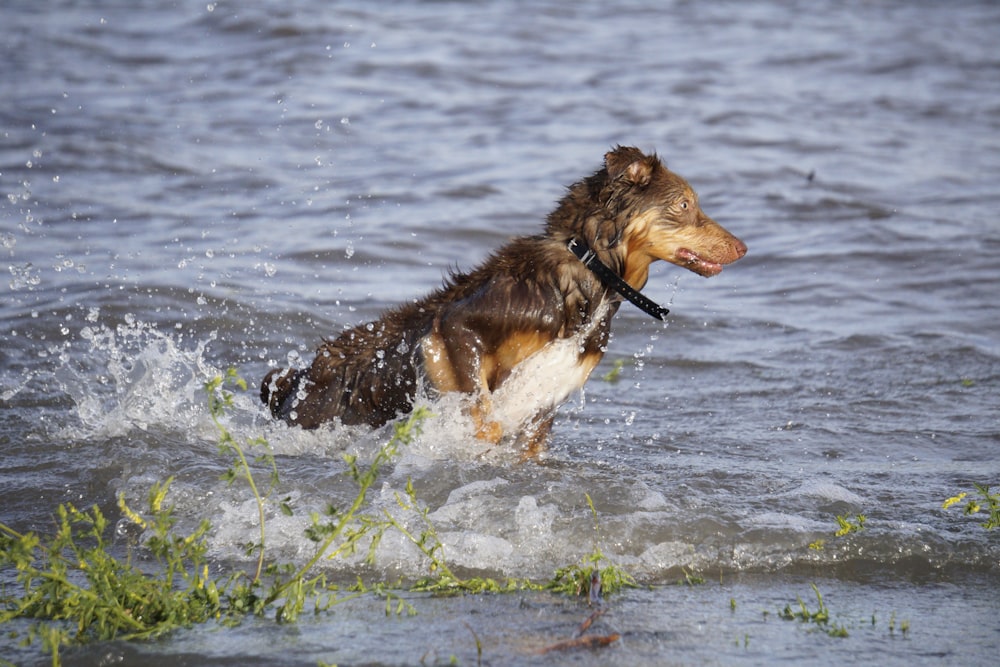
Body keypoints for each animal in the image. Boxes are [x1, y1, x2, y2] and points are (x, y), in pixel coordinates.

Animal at [262, 147, 748, 456]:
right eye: (684, 205)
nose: (743, 247)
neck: (591, 272)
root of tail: (291, 381)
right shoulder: (455, 328)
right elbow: (484, 416)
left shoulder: (545, 405)